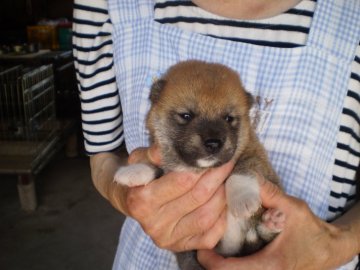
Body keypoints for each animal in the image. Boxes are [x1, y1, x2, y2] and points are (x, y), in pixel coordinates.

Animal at [115, 60, 284, 268]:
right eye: (186, 115)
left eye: (229, 118)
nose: (213, 143)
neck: (199, 169)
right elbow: (157, 167)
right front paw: (134, 171)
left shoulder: (254, 154)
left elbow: (242, 169)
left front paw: (242, 197)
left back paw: (272, 223)